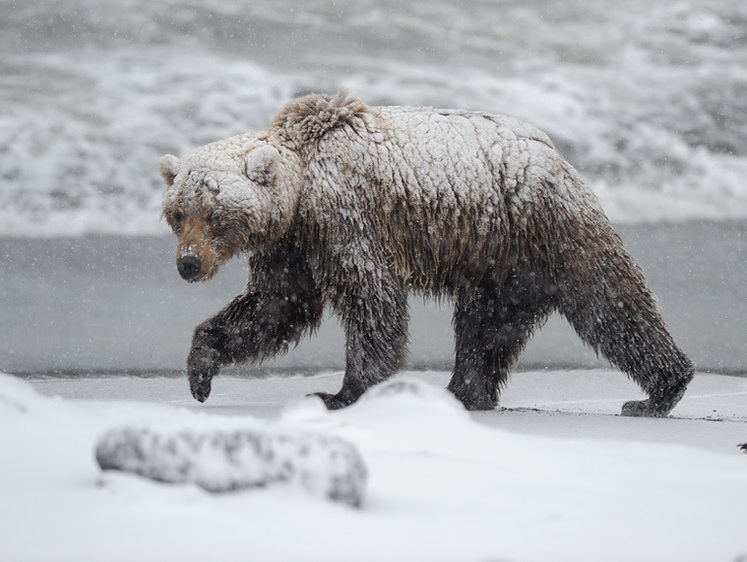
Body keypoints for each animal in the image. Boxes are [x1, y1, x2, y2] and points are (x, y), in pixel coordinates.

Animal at [159, 92, 696, 414]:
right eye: (178, 213)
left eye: (214, 214)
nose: (188, 264)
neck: (302, 192)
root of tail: (558, 153)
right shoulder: (293, 246)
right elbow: (275, 306)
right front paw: (201, 371)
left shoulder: (346, 219)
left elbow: (371, 300)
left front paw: (341, 392)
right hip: (500, 261)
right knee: (487, 325)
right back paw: (463, 392)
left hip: (545, 225)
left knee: (610, 303)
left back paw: (658, 391)